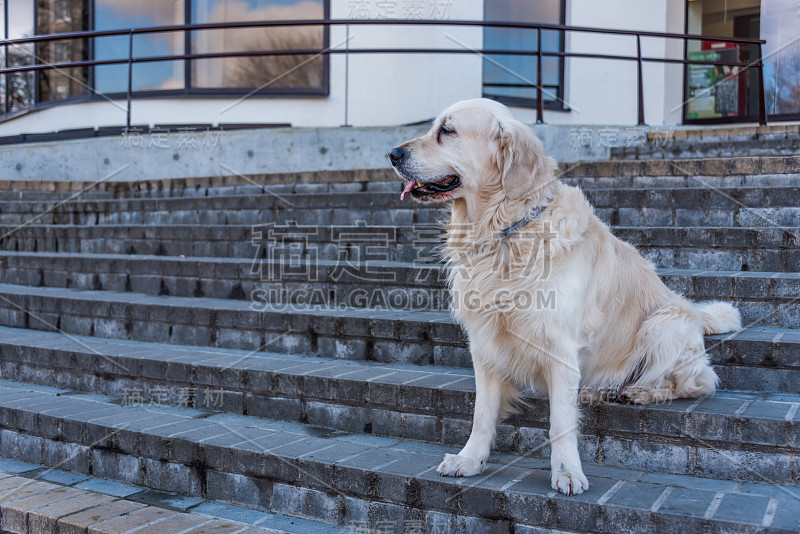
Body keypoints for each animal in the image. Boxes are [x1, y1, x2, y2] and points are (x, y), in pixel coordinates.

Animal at [388, 98, 736, 496]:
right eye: (433, 127)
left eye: (447, 131)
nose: (392, 153)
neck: (503, 233)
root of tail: (693, 310)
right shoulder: (485, 342)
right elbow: (482, 413)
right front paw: (470, 459)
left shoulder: (560, 346)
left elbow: (560, 421)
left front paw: (567, 471)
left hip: (664, 324)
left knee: (696, 382)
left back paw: (641, 391)